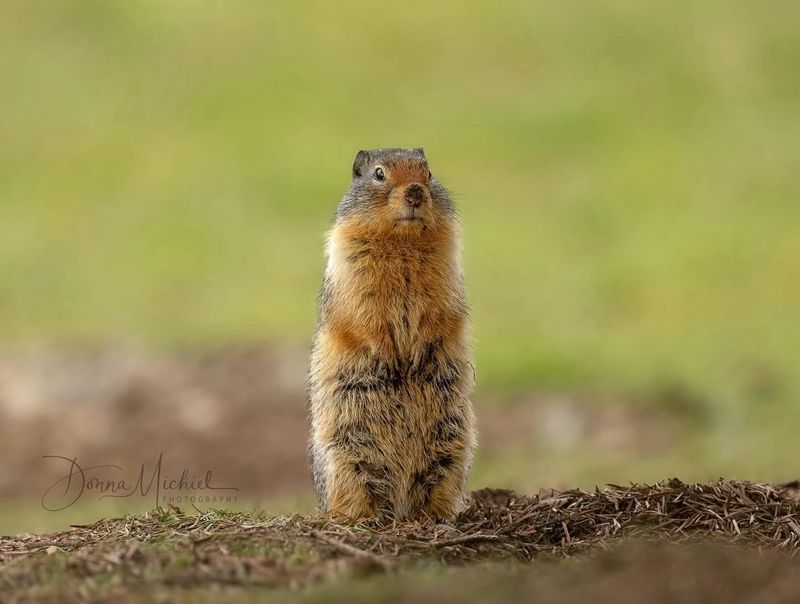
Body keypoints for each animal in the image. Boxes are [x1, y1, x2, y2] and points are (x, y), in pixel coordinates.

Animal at [306, 149, 476, 520]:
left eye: (428, 172)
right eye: (379, 174)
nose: (414, 191)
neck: (403, 241)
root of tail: (400, 508)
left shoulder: (446, 266)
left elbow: (443, 311)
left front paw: (419, 352)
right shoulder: (351, 264)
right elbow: (362, 312)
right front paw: (388, 355)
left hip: (452, 447)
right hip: (346, 455)